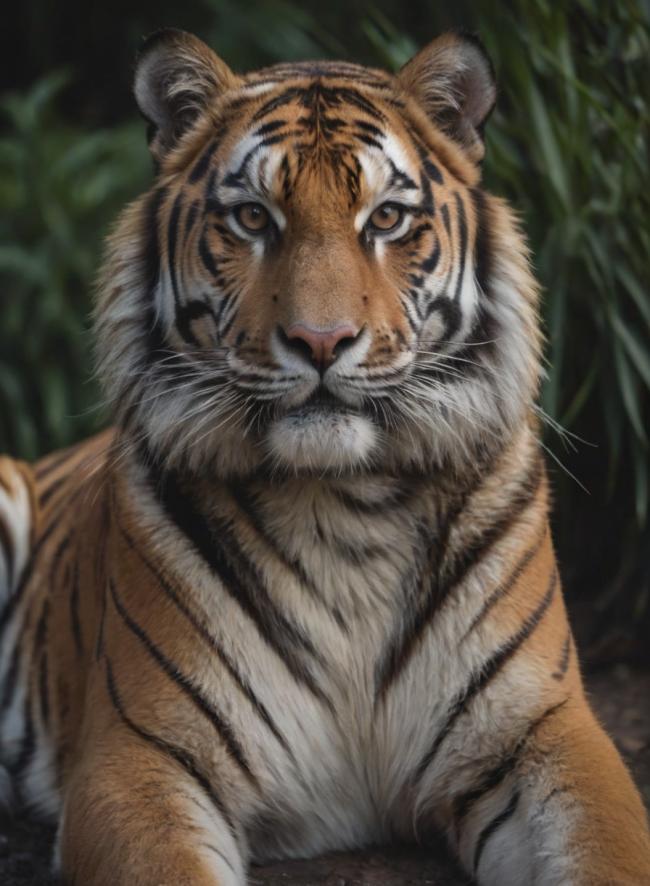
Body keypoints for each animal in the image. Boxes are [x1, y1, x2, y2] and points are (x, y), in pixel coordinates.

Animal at [0, 26, 649, 886]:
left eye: (387, 218)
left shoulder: (547, 730)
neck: (347, 502)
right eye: (252, 217)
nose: (320, 341)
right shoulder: (139, 756)